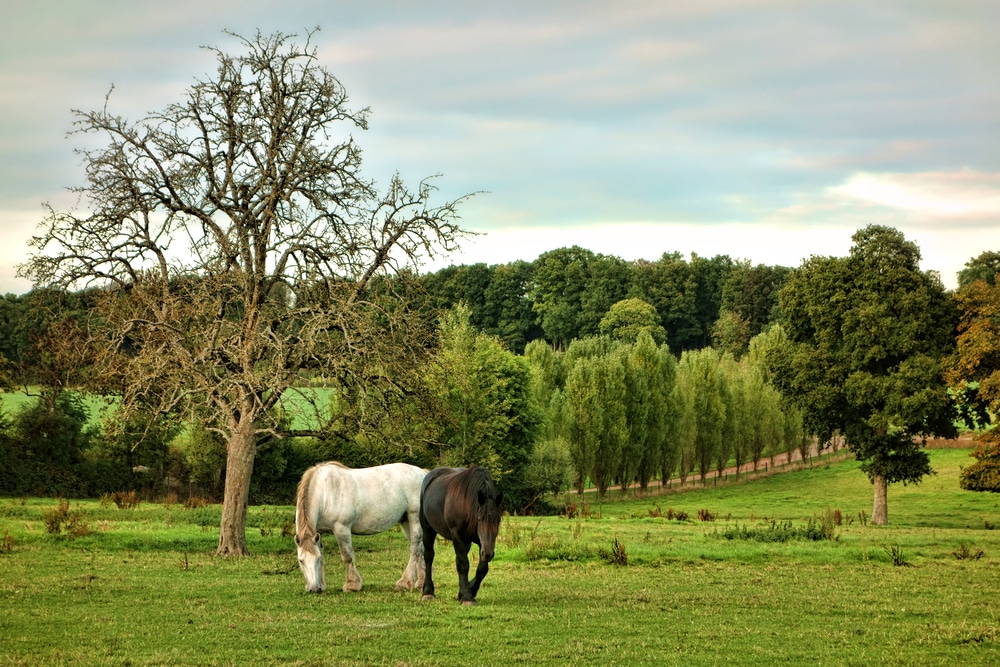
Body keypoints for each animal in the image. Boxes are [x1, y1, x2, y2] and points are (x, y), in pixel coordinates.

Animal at [292, 464, 426, 596]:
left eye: (317, 559)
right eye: (301, 560)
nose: (314, 589)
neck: (326, 492)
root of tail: (423, 473)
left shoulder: (342, 529)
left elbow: (347, 556)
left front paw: (352, 585)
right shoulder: (319, 533)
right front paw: (322, 585)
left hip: (414, 517)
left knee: (415, 549)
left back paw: (404, 582)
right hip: (406, 521)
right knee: (421, 548)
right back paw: (421, 583)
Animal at [418, 468, 504, 608]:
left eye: (498, 520)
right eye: (479, 519)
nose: (488, 554)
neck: (468, 505)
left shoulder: (481, 542)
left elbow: (482, 569)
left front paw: (468, 591)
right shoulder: (457, 536)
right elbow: (463, 565)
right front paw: (467, 597)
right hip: (428, 530)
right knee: (429, 557)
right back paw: (428, 592)